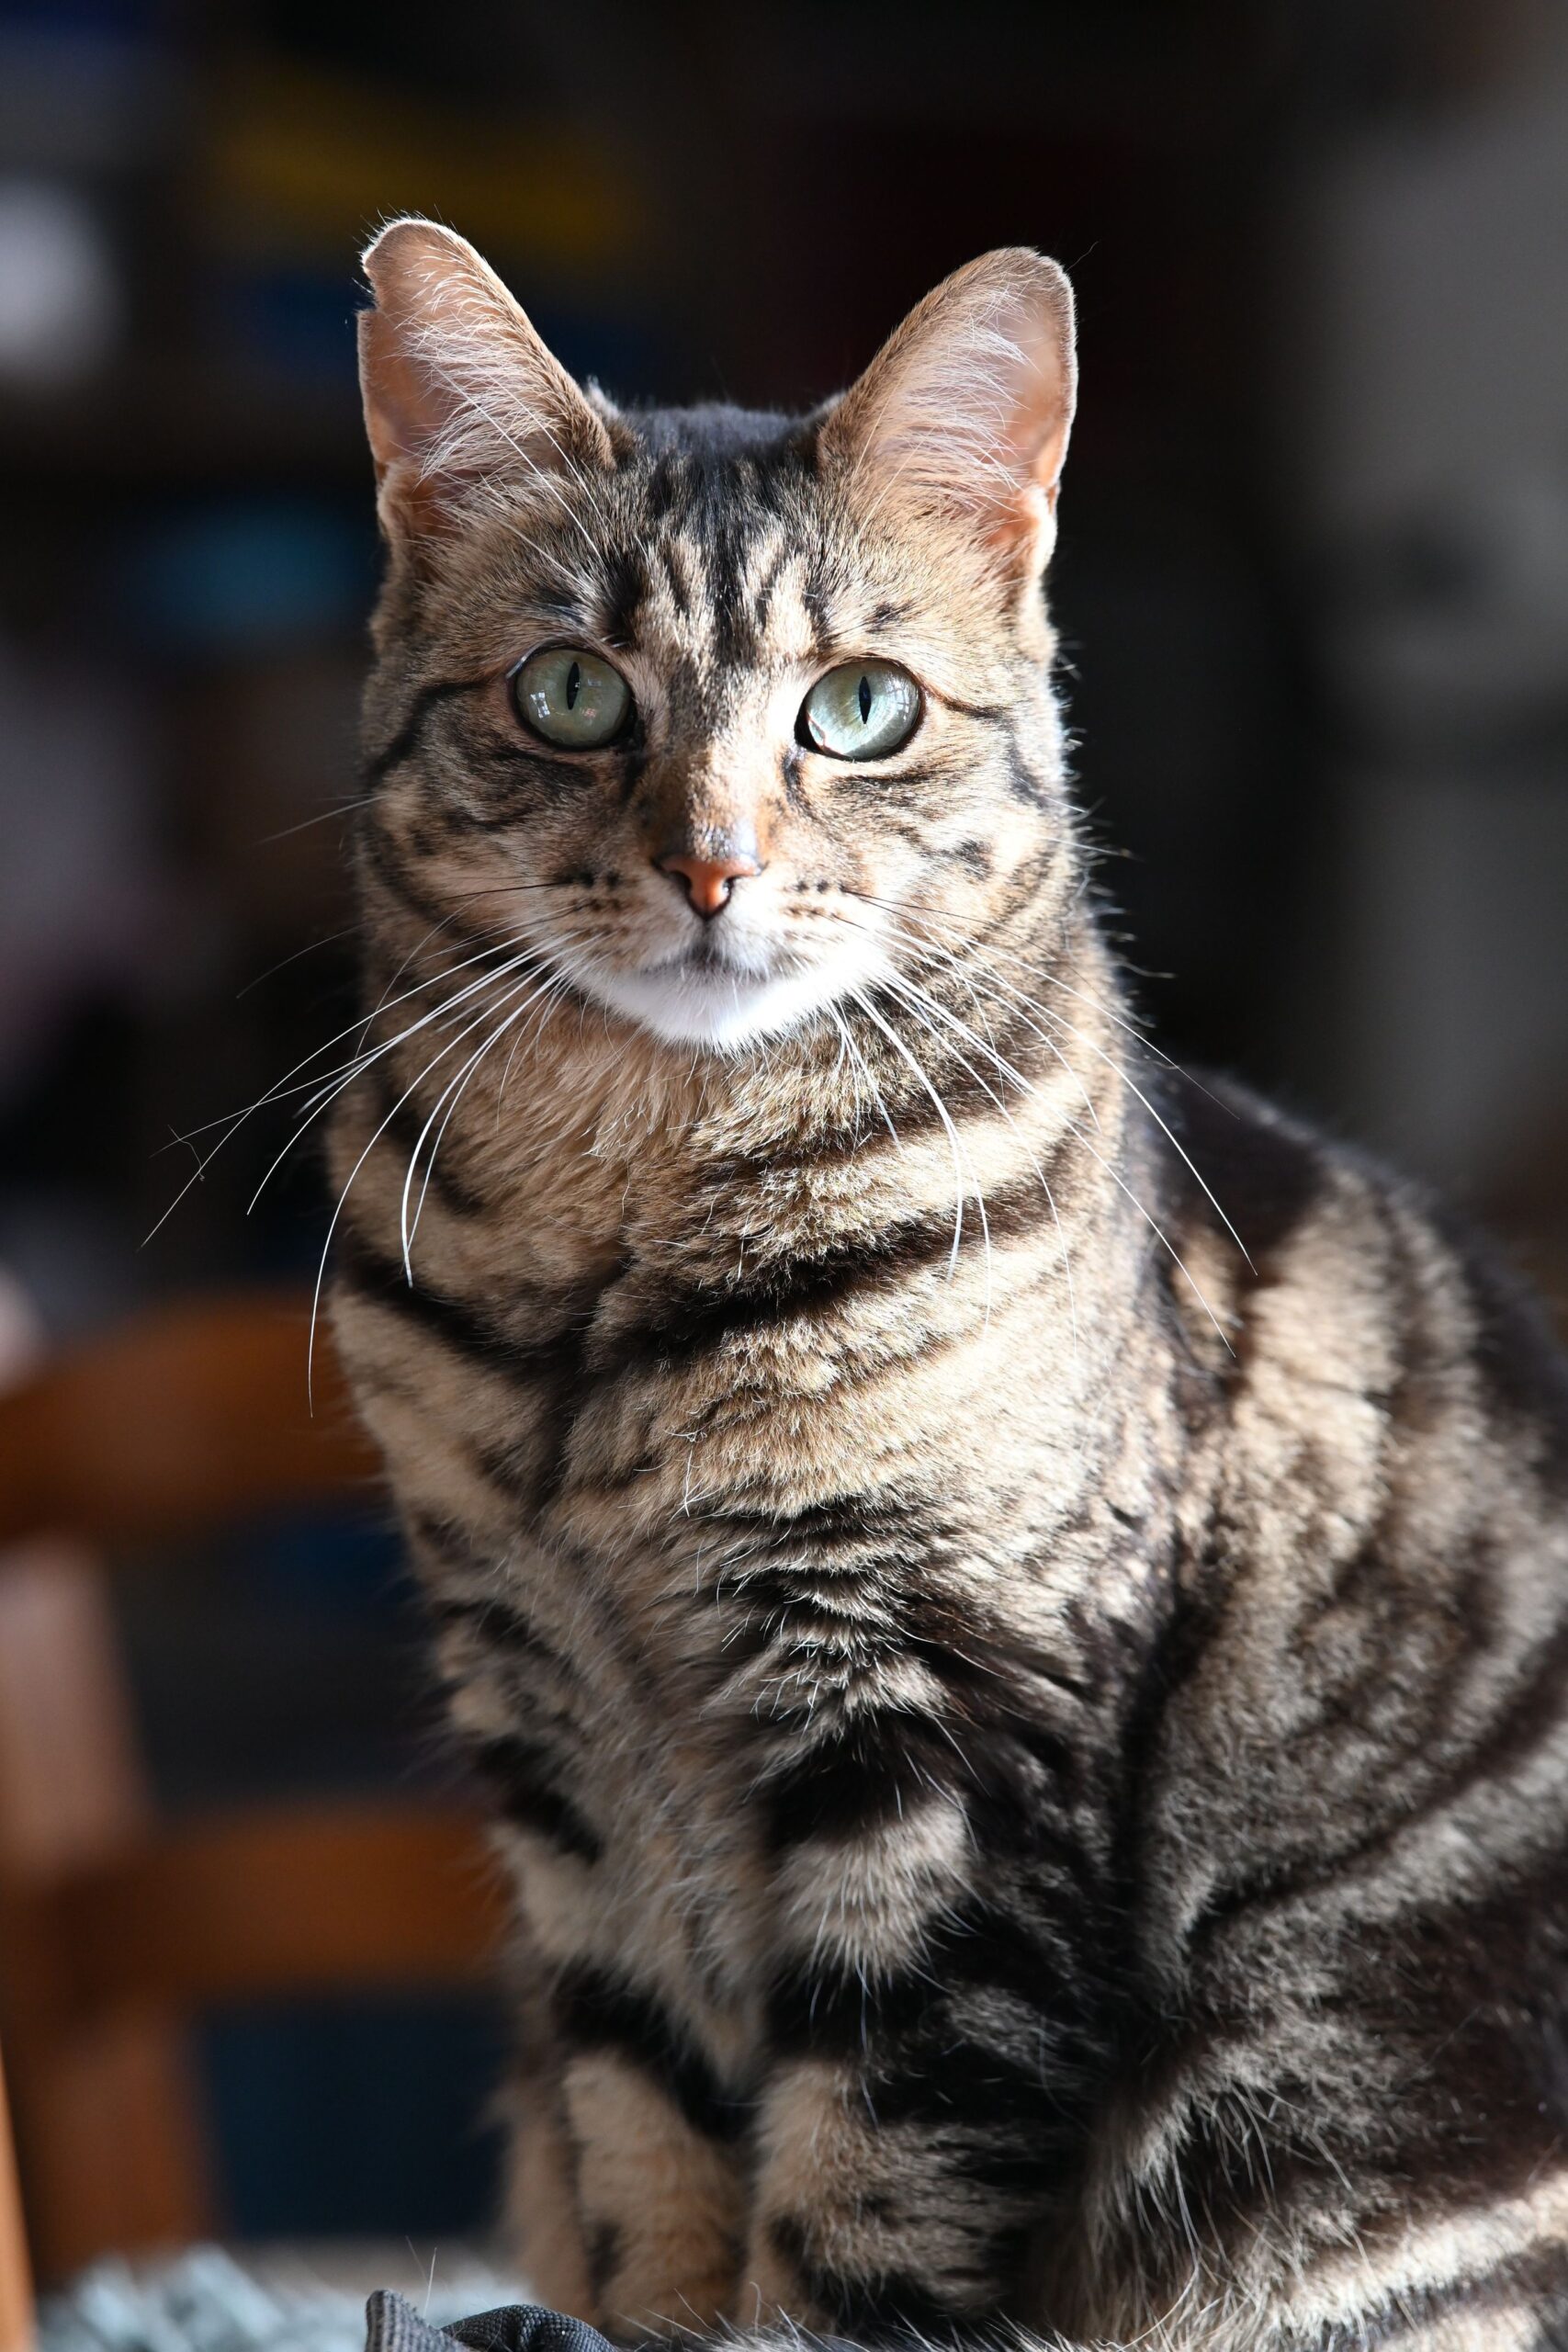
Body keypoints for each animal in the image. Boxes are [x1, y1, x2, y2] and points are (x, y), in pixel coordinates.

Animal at [329, 220, 1568, 2352]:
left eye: (857, 708)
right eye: (570, 692)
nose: (714, 868)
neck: (617, 1250)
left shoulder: (956, 1725)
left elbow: (873, 2180)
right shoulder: (553, 1733)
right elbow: (637, 2128)